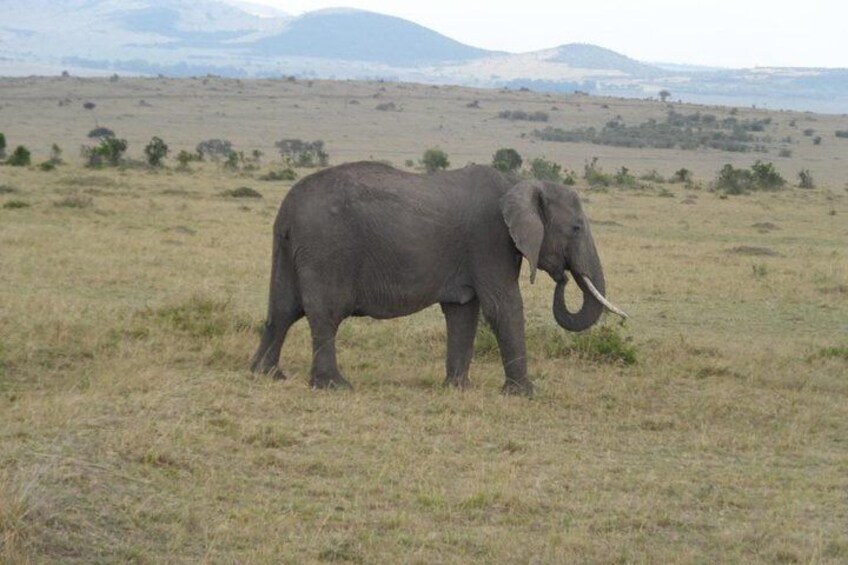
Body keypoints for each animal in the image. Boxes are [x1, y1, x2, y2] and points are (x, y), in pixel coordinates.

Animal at [248, 161, 628, 394]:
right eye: (576, 228)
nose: (563, 276)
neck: (517, 182)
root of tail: (286, 210)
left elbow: (464, 312)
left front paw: (458, 388)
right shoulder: (489, 238)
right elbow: (503, 306)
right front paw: (525, 393)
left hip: (288, 247)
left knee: (282, 310)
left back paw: (264, 374)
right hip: (327, 247)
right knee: (324, 313)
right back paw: (334, 386)